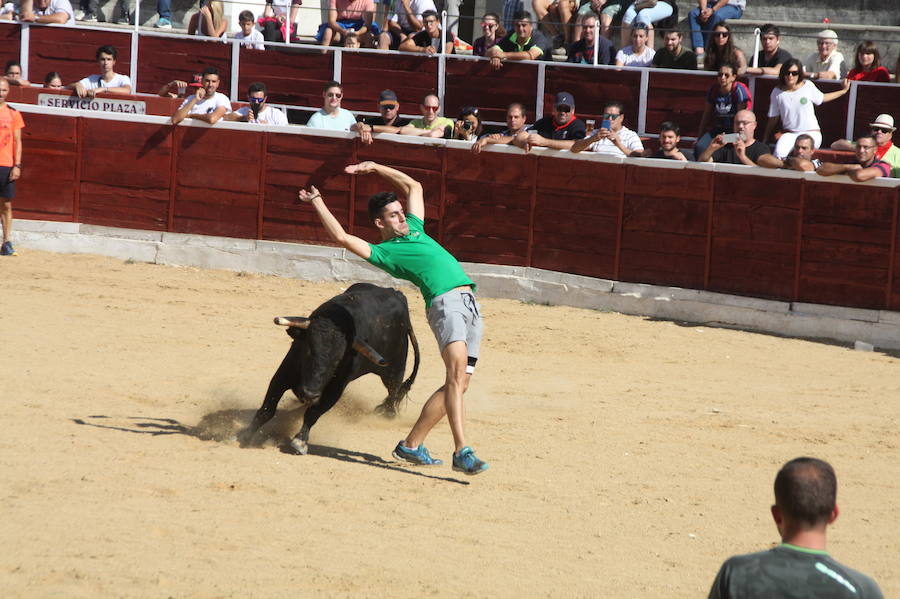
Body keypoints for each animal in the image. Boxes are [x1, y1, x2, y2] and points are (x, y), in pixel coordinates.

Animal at [239, 282, 422, 454]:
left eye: (337, 361)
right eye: (308, 350)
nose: (309, 394)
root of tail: (397, 293)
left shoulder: (335, 389)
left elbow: (313, 413)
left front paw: (300, 442)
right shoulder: (283, 374)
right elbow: (267, 409)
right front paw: (245, 435)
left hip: (395, 368)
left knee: (393, 390)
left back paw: (386, 413)